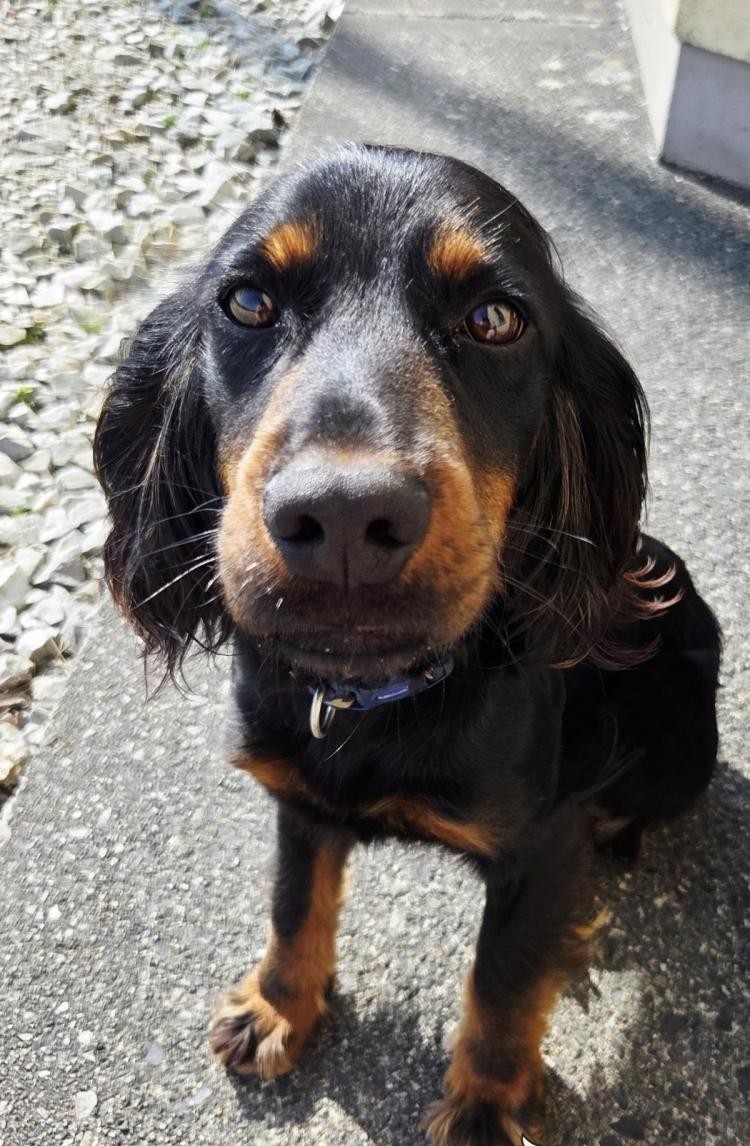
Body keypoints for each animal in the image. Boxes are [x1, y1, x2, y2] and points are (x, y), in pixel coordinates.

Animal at [94, 144, 721, 1146]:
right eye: (247, 302)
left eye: (495, 317)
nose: (344, 519)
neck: (373, 690)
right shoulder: (297, 795)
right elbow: (294, 905)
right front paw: (277, 1008)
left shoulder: (540, 847)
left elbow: (503, 982)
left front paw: (487, 1104)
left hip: (679, 747)